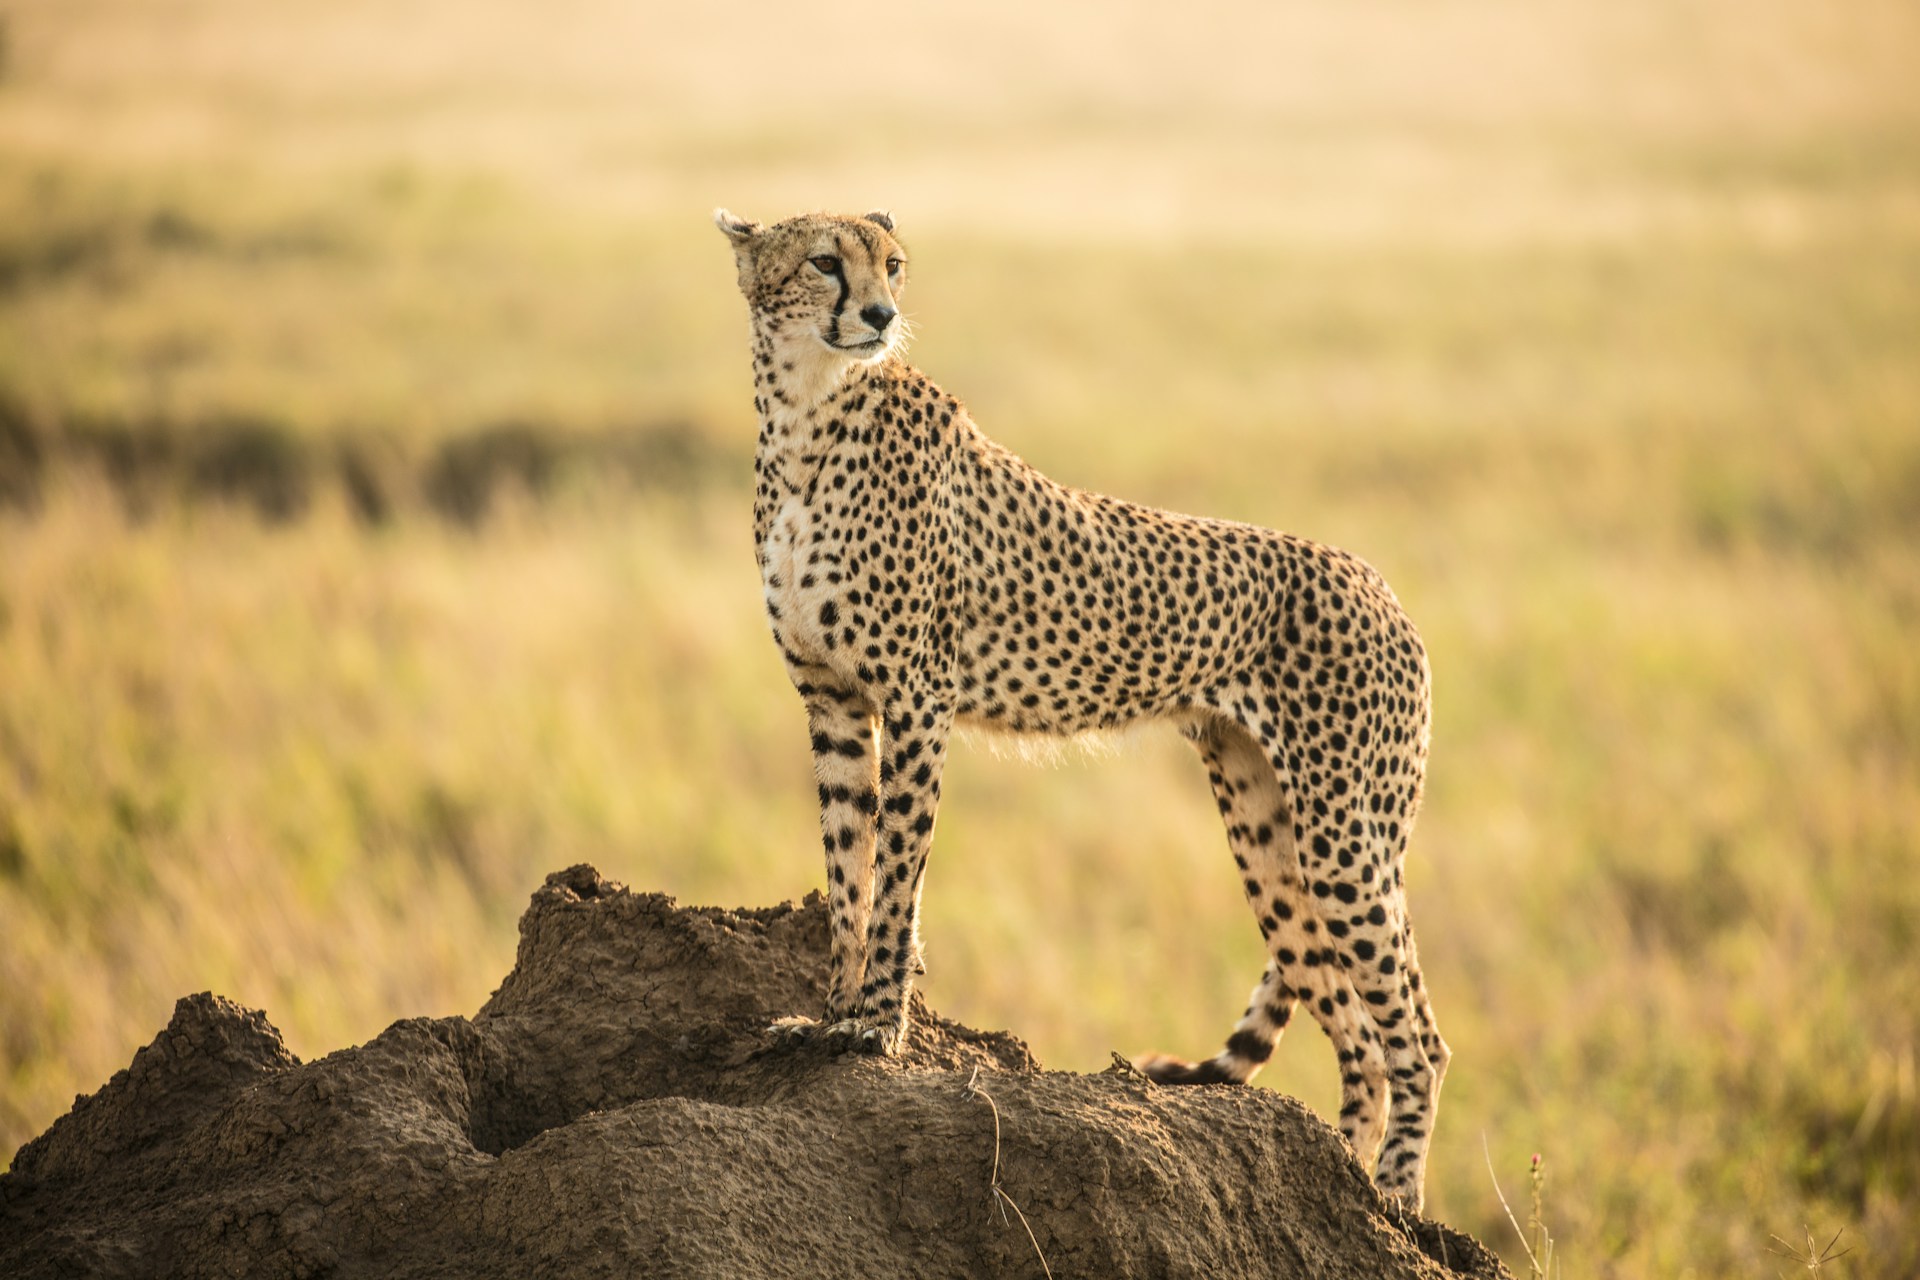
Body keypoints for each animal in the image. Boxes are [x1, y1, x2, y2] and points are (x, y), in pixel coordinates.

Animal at [714, 207, 1450, 1213]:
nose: (878, 314)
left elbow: (897, 873)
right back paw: (1342, 1181)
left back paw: (1396, 1202)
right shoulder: (830, 699)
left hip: (1344, 834)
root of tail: (1374, 577)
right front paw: (828, 1017)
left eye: (893, 266)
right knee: (1357, 1032)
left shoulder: (916, 698)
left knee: (1417, 1038)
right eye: (826, 262)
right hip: (1272, 835)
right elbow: (846, 872)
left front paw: (877, 1026)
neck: (806, 412)